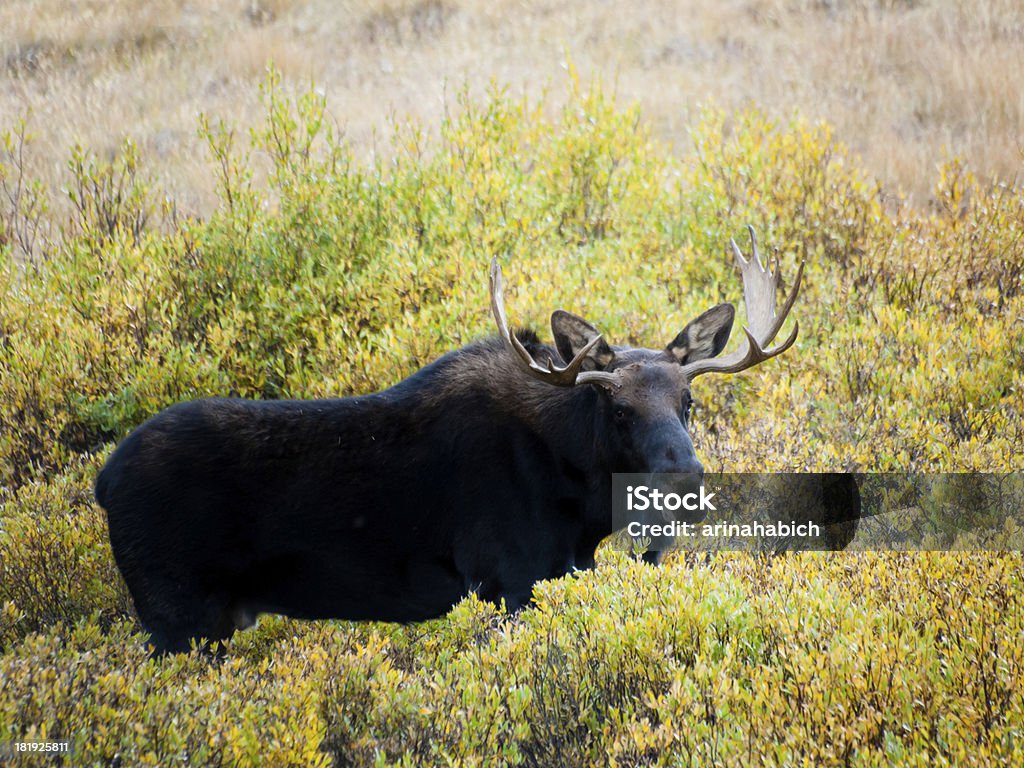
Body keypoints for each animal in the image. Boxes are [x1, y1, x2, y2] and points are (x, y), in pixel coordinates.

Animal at [97, 227, 798, 655]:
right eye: (619, 409)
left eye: (688, 401)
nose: (687, 480)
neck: (580, 509)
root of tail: (102, 483)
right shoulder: (508, 579)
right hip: (175, 616)